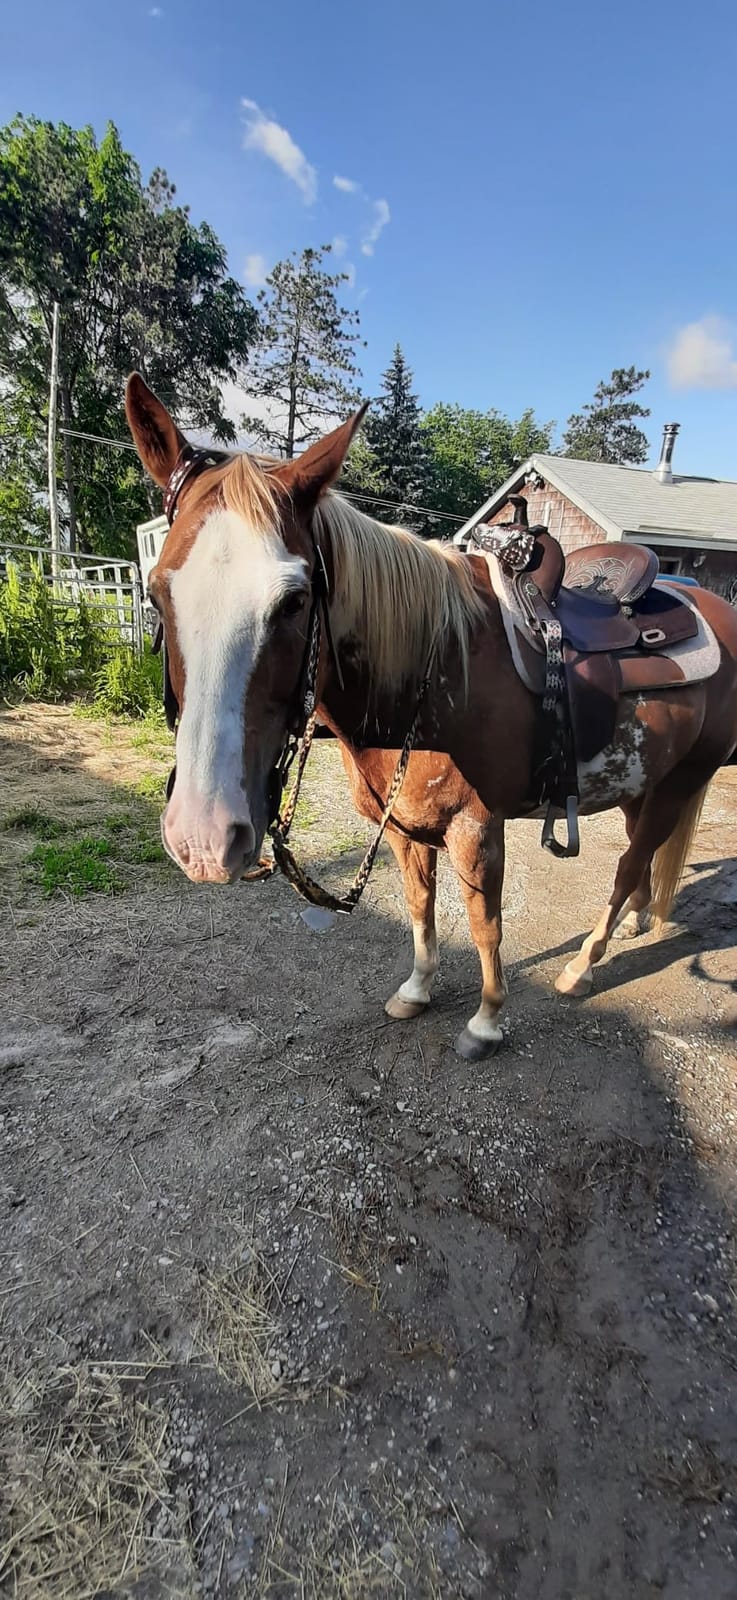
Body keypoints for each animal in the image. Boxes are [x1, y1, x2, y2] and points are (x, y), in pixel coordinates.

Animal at [125, 374, 737, 1061]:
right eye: (156, 593)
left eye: (295, 600)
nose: (203, 839)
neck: (435, 666)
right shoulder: (402, 828)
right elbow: (420, 907)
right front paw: (417, 990)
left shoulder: (476, 830)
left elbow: (485, 925)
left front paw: (487, 1020)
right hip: (644, 781)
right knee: (641, 856)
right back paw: (633, 922)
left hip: (682, 781)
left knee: (632, 863)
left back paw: (584, 964)